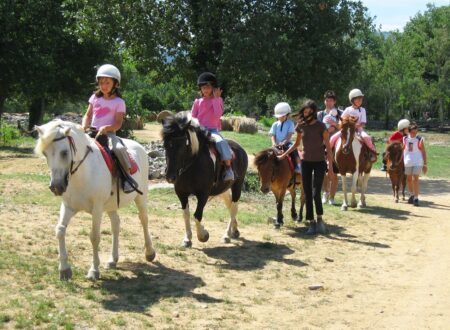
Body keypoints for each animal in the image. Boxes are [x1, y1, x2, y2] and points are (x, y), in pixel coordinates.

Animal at [34, 120, 156, 280]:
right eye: (45, 153)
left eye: (64, 152)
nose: (56, 187)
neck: (83, 173)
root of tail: (140, 147)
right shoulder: (68, 206)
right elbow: (60, 230)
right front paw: (64, 269)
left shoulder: (97, 208)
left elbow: (94, 236)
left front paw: (94, 270)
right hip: (110, 205)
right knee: (116, 224)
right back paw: (113, 260)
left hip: (141, 197)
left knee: (144, 220)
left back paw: (150, 253)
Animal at [161, 112, 248, 246]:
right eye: (165, 145)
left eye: (182, 146)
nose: (170, 176)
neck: (192, 165)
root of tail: (240, 149)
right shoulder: (181, 193)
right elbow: (186, 214)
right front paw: (187, 238)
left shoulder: (203, 194)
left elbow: (197, 215)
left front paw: (203, 235)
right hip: (223, 189)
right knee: (230, 205)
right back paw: (235, 230)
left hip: (237, 185)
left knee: (234, 207)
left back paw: (227, 235)